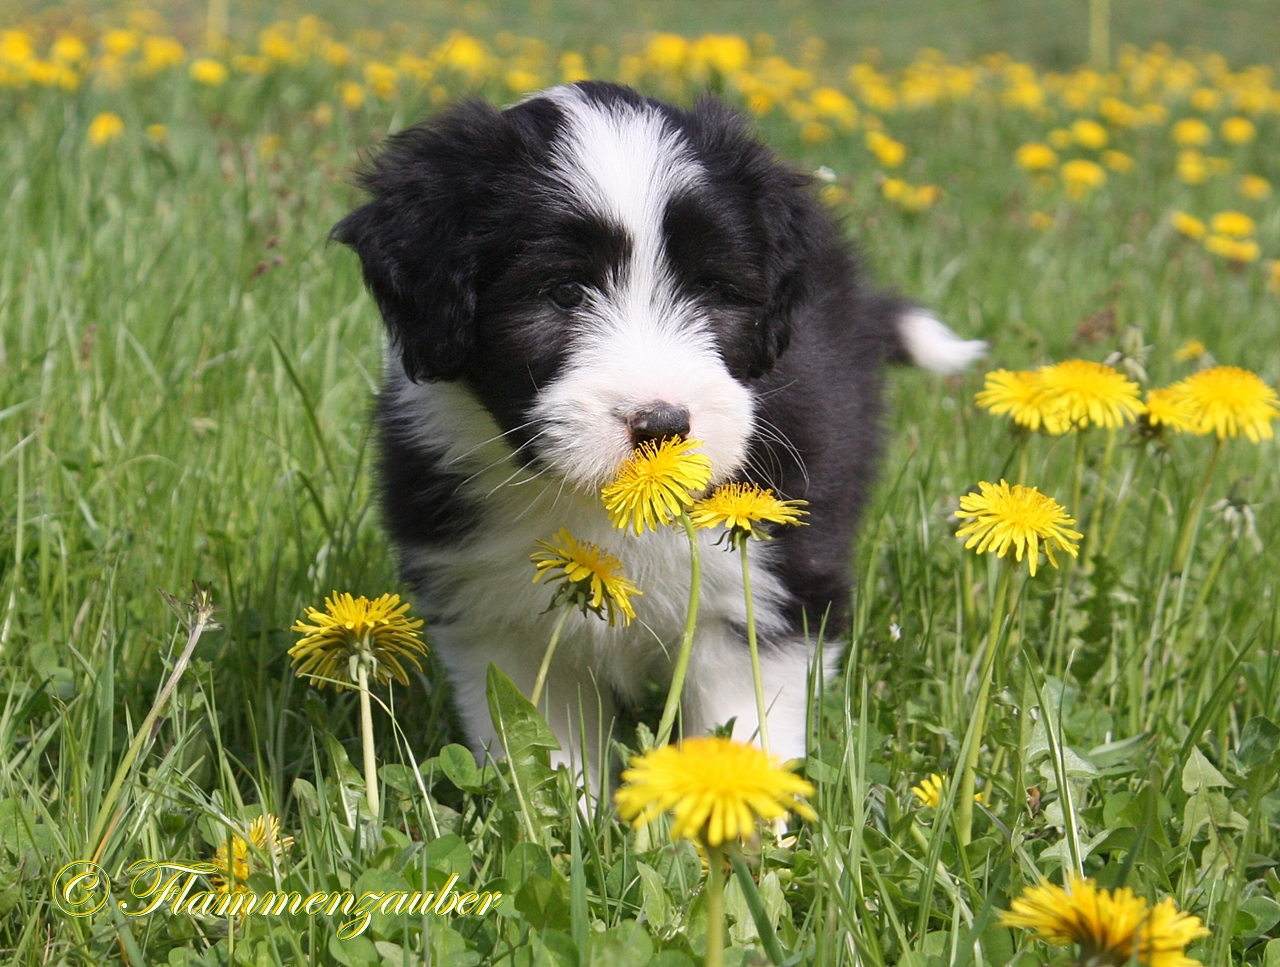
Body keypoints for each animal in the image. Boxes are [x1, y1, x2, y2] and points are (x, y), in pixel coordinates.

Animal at [335, 79, 983, 768]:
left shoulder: (764, 586)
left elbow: (743, 726)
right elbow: (544, 740)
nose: (662, 425)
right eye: (563, 291)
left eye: (713, 290)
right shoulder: (500, 617)